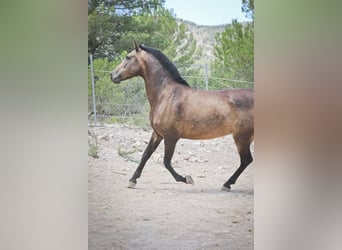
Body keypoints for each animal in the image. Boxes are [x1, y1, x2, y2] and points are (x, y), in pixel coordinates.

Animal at [111, 42, 252, 191]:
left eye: (128, 57)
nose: (112, 75)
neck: (166, 95)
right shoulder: (157, 134)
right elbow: (145, 155)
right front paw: (132, 180)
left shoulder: (171, 137)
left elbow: (166, 162)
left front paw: (186, 179)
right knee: (246, 161)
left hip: (241, 137)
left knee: (246, 160)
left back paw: (227, 184)